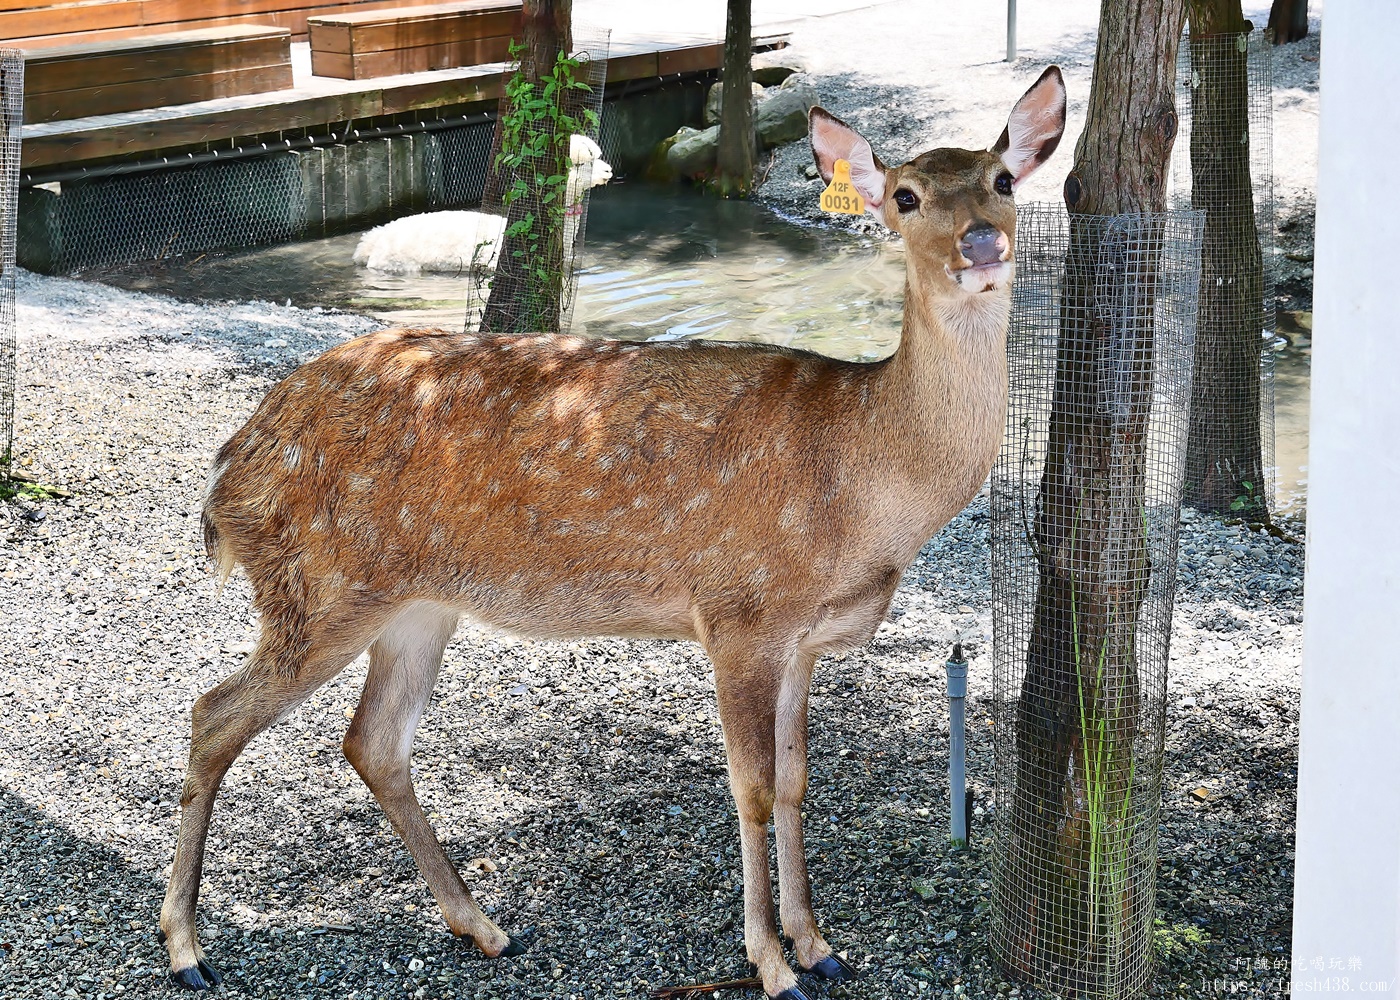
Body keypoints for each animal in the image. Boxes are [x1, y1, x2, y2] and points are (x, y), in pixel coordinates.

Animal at [158, 66, 1067, 999]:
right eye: (906, 196)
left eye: (1003, 181)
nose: (982, 244)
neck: (860, 496)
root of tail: (233, 465)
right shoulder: (738, 612)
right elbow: (749, 789)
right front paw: (772, 962)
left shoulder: (803, 640)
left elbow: (796, 784)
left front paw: (821, 943)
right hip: (319, 587)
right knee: (212, 713)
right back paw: (187, 948)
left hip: (414, 606)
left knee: (372, 741)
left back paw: (485, 926)